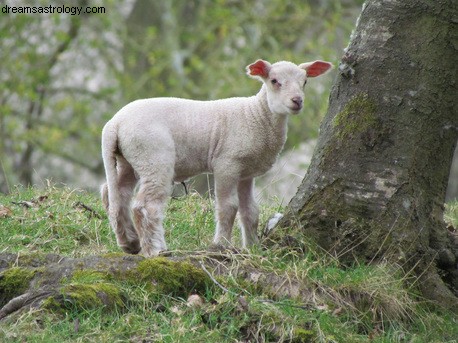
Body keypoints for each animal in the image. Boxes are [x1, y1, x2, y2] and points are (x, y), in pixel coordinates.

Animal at [100, 59, 330, 258]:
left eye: (305, 81)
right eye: (274, 81)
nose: (297, 101)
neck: (256, 115)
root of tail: (114, 123)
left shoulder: (246, 172)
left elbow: (250, 211)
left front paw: (252, 248)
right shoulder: (227, 164)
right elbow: (228, 207)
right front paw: (221, 245)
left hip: (129, 159)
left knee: (115, 194)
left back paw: (129, 242)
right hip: (153, 156)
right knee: (145, 206)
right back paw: (156, 250)